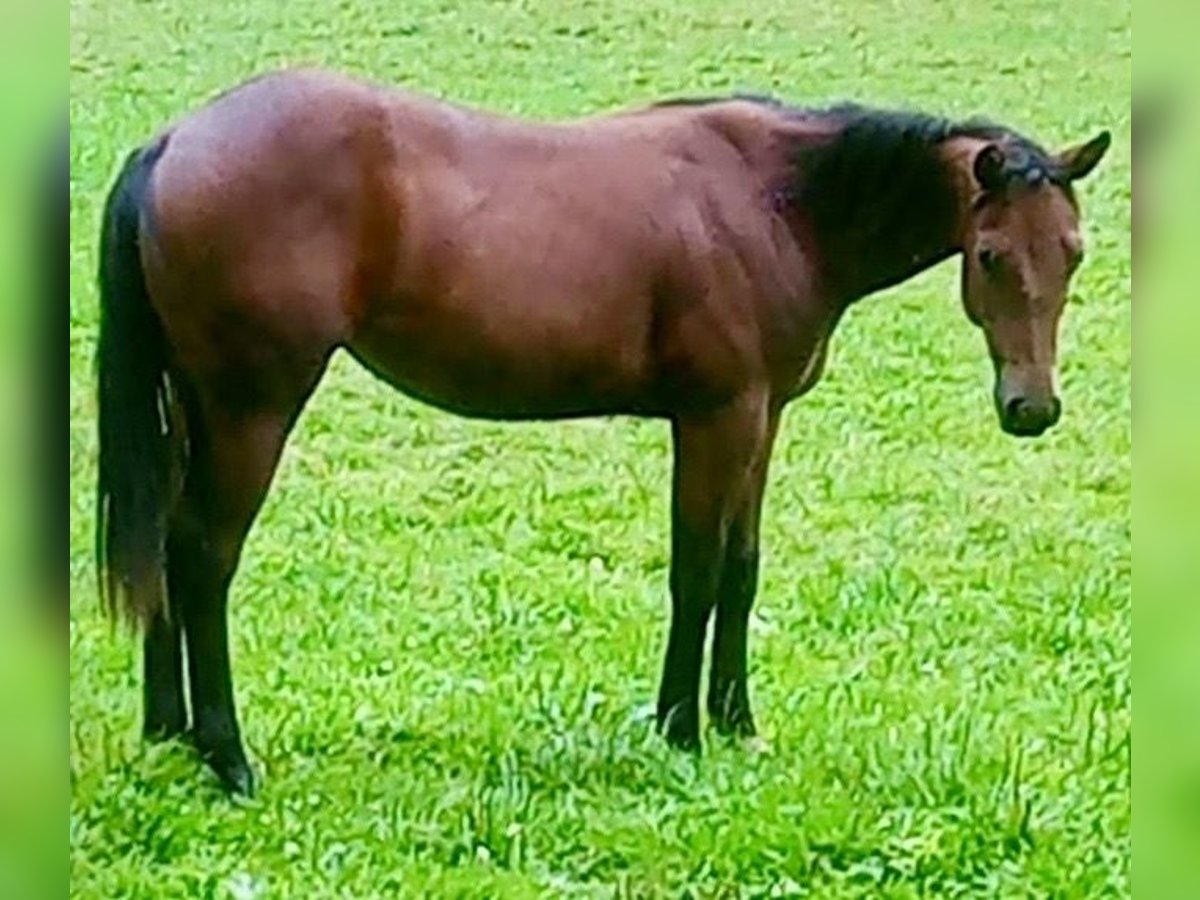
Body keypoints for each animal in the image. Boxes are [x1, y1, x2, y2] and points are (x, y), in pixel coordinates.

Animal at [93, 68, 1110, 796]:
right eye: (991, 255)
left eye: (1072, 251)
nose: (1032, 408)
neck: (779, 201)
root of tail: (176, 139)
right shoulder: (716, 417)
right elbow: (696, 572)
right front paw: (680, 728)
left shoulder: (763, 418)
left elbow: (741, 571)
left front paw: (737, 722)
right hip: (253, 407)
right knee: (202, 556)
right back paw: (227, 756)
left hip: (198, 403)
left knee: (165, 547)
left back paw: (168, 730)